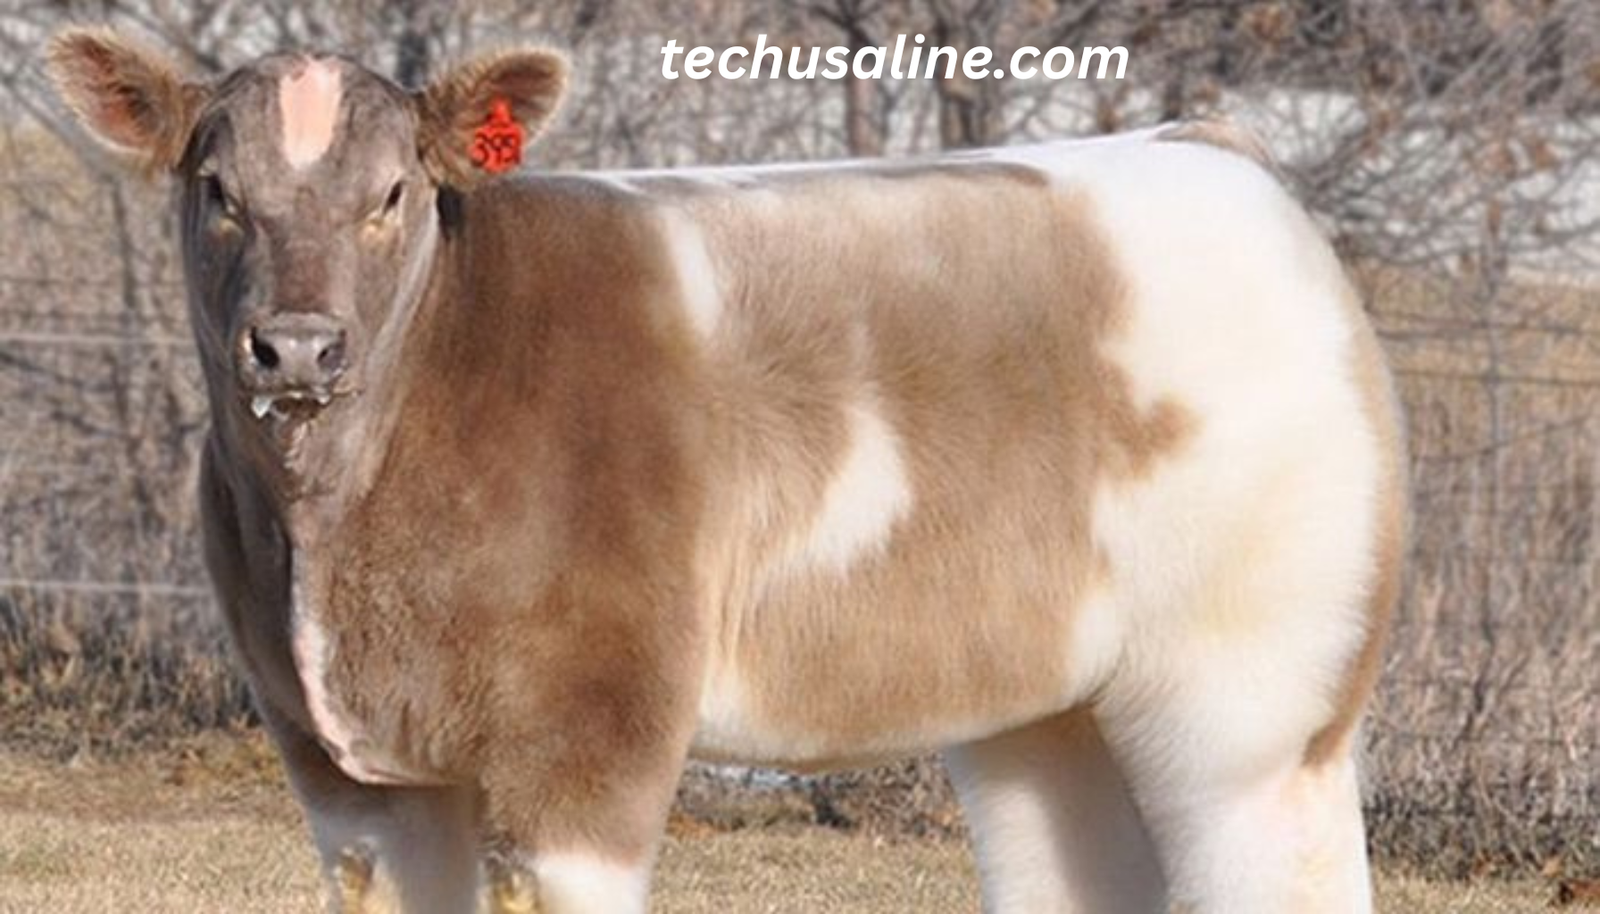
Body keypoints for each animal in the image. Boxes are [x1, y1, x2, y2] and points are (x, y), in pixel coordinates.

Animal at [47, 27, 1405, 914]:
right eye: (216, 189)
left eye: (392, 193)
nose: (297, 345)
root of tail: (1212, 148)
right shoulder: (342, 769)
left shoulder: (588, 738)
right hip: (1050, 705)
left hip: (1258, 700)